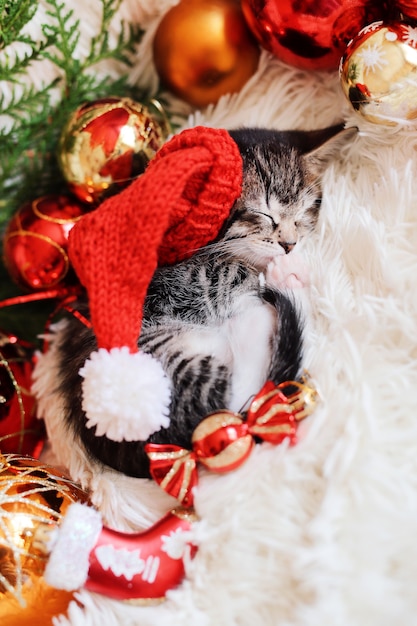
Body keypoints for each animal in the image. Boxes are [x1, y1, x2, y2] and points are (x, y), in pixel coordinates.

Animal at [54, 124, 354, 476]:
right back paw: (278, 290)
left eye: (305, 211)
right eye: (263, 214)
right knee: (231, 402)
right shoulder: (194, 273)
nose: (290, 244)